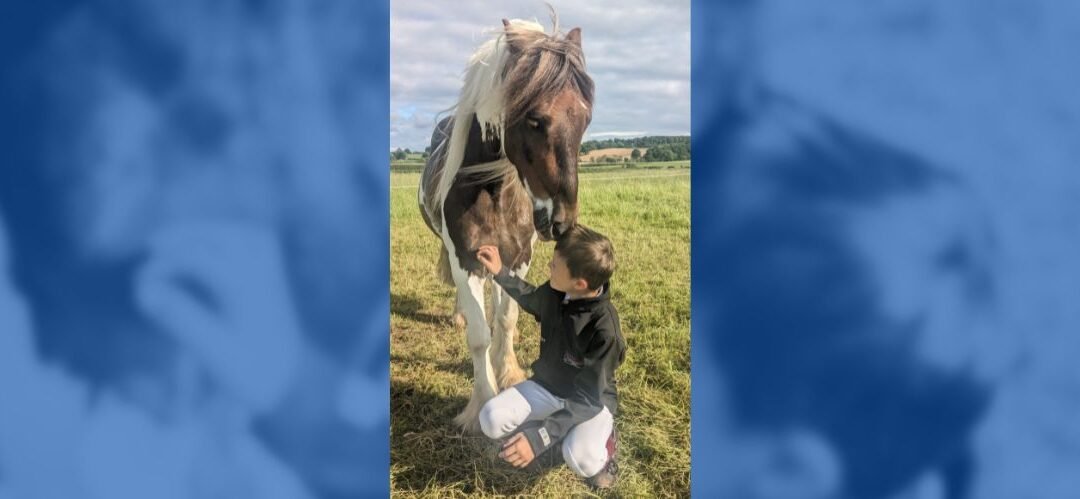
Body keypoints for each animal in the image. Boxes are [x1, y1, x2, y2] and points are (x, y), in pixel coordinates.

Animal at [418, 16, 593, 432]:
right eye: (534, 119)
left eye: (585, 118)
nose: (561, 223)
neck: (493, 190)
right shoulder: (466, 259)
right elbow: (480, 334)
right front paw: (482, 400)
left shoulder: (517, 258)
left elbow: (508, 317)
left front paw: (509, 374)